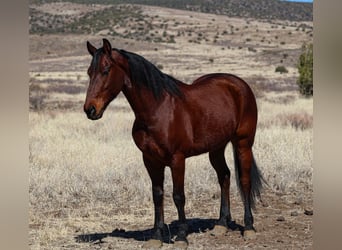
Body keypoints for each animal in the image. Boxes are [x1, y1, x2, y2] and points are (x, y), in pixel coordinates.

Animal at [83, 38, 264, 248]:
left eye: (106, 70)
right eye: (89, 72)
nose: (90, 110)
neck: (157, 109)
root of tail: (239, 84)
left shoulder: (177, 160)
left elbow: (178, 196)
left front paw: (182, 237)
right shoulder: (150, 160)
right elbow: (157, 195)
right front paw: (156, 237)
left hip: (243, 143)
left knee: (244, 181)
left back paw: (249, 227)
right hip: (216, 148)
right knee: (224, 176)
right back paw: (221, 225)